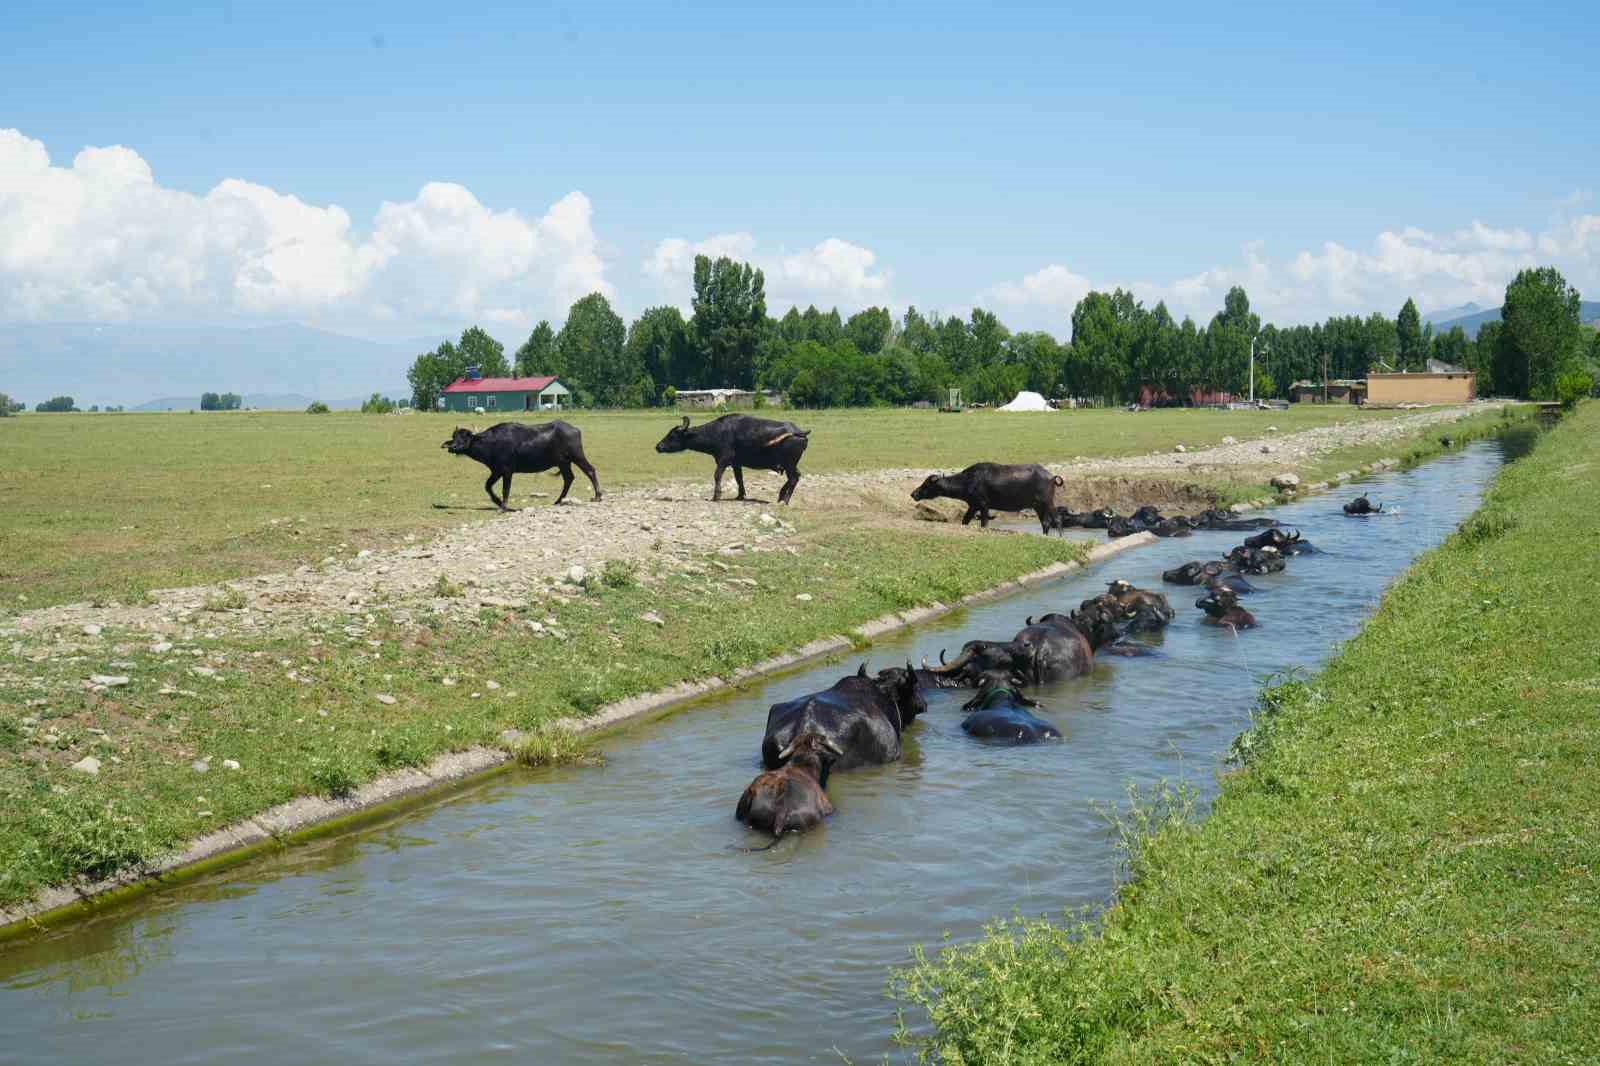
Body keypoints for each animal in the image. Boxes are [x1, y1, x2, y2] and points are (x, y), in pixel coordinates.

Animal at [441, 419, 601, 512]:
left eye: (465, 437)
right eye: (454, 437)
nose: (452, 447)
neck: (492, 443)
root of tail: (575, 430)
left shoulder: (507, 471)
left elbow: (505, 489)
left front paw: (503, 507)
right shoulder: (496, 471)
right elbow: (487, 486)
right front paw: (497, 502)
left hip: (576, 456)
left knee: (590, 471)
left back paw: (598, 496)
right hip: (563, 463)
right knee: (568, 478)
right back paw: (558, 501)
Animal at [915, 464, 1062, 531]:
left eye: (926, 484)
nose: (913, 494)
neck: (968, 481)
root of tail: (1051, 476)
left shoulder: (983, 505)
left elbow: (984, 523)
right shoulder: (973, 506)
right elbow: (965, 520)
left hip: (1048, 502)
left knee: (1057, 520)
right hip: (1038, 506)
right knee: (1045, 523)